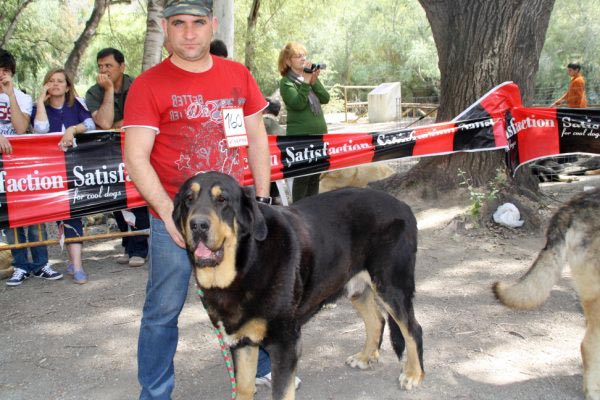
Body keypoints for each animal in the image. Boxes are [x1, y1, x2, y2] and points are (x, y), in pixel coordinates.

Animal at [173, 172, 424, 400]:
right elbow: (243, 388)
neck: (246, 262)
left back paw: (414, 374)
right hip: (356, 286)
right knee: (377, 320)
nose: (198, 225)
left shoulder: (285, 343)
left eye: (222, 200)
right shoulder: (241, 342)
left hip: (391, 286)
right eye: (188, 199)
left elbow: (281, 392)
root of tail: (403, 206)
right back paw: (366, 356)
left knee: (413, 328)